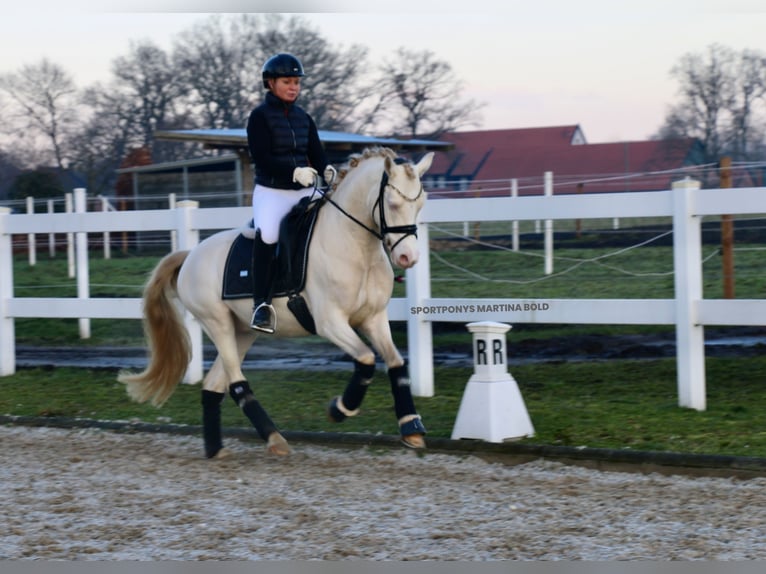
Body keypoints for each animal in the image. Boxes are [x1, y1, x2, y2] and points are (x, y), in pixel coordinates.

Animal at [118, 147, 436, 460]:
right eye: (392, 203)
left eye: (421, 203)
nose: (408, 258)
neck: (353, 245)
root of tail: (190, 256)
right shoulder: (330, 322)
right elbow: (367, 360)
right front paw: (339, 409)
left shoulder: (374, 318)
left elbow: (396, 362)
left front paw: (411, 427)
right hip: (217, 323)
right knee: (235, 383)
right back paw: (273, 438)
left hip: (242, 332)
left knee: (214, 386)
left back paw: (216, 449)